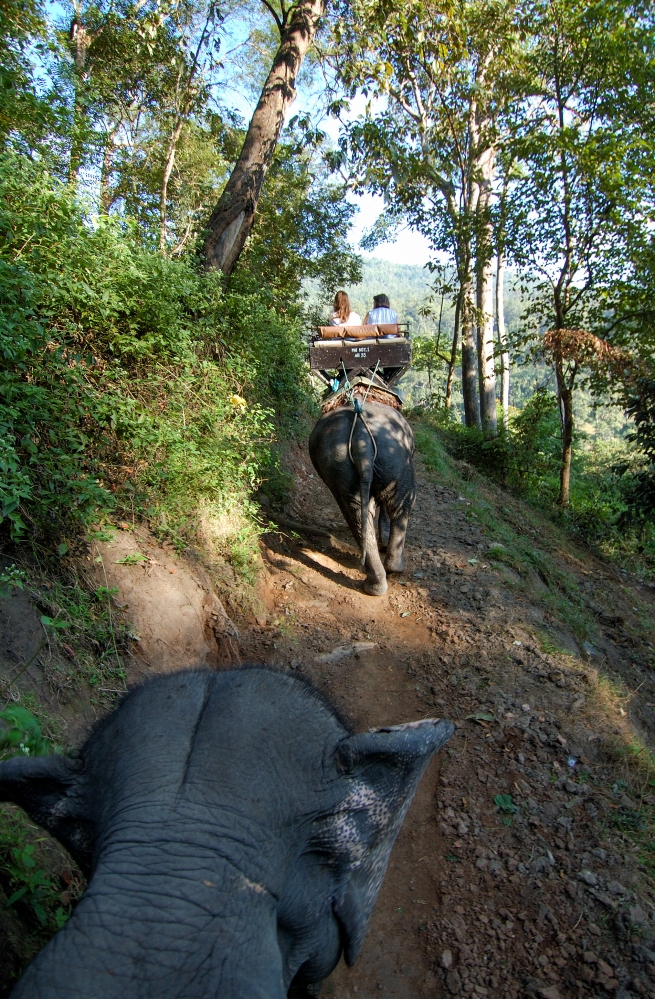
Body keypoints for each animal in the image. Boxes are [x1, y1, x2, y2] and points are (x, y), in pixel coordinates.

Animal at [308, 402, 416, 596]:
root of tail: (360, 435)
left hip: (339, 465)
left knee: (355, 514)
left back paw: (374, 585)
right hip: (395, 458)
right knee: (402, 505)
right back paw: (394, 569)